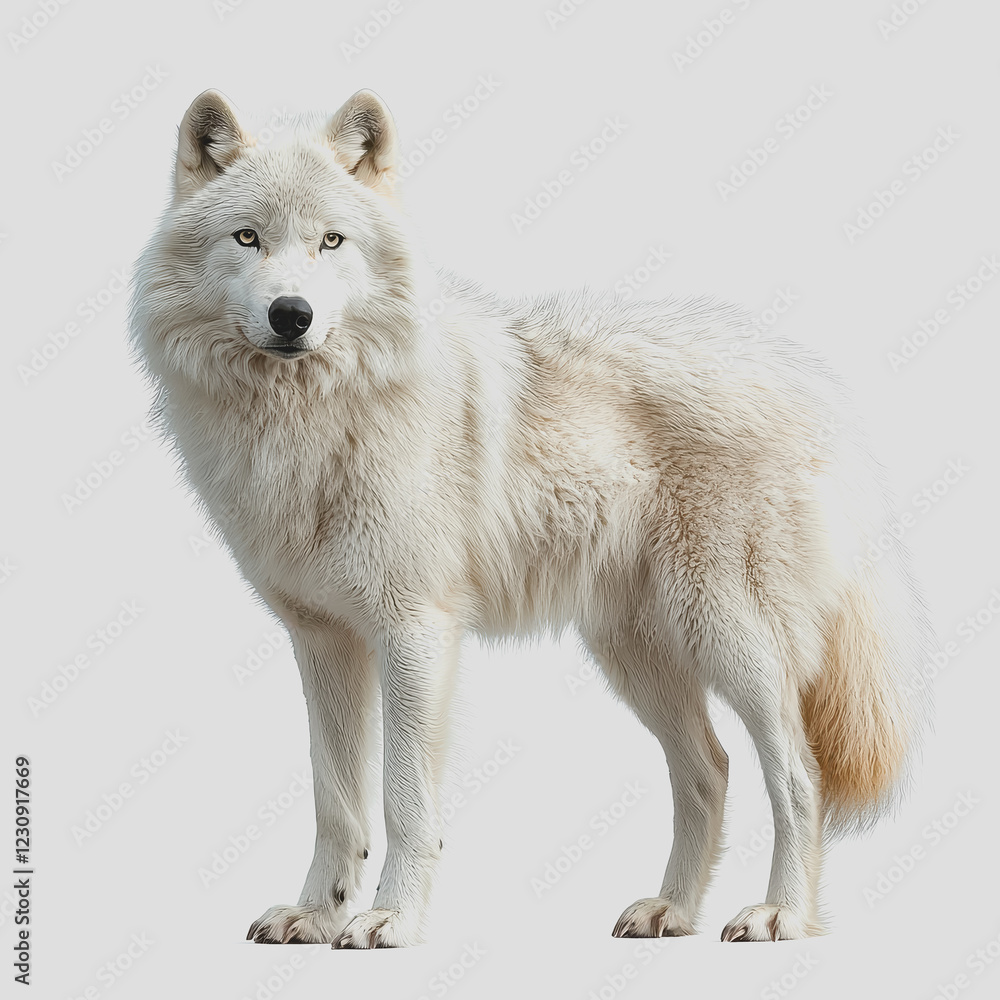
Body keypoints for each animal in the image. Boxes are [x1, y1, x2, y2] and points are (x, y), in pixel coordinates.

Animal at [129, 89, 932, 948]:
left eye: (330, 241)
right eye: (248, 237)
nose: (292, 314)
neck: (312, 419)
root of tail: (809, 380)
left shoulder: (415, 633)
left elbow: (405, 802)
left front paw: (391, 919)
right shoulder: (324, 643)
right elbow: (335, 802)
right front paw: (316, 916)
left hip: (731, 637)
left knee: (798, 775)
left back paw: (780, 913)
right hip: (636, 655)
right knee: (710, 770)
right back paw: (671, 911)